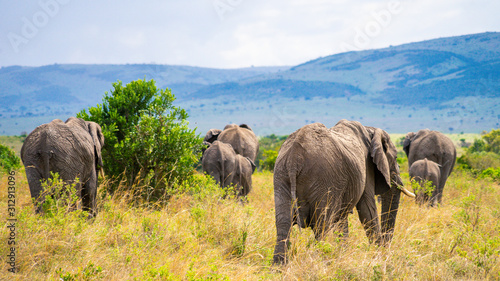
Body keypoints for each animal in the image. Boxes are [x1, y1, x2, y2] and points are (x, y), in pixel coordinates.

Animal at [272, 120, 416, 262]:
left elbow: (342, 220)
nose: (386, 249)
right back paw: (320, 261)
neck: (371, 130)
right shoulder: (366, 167)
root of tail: (294, 157)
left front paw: (343, 255)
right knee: (321, 225)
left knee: (284, 223)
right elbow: (367, 210)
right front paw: (378, 256)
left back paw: (279, 266)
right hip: (323, 180)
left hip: (281, 176)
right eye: (396, 157)